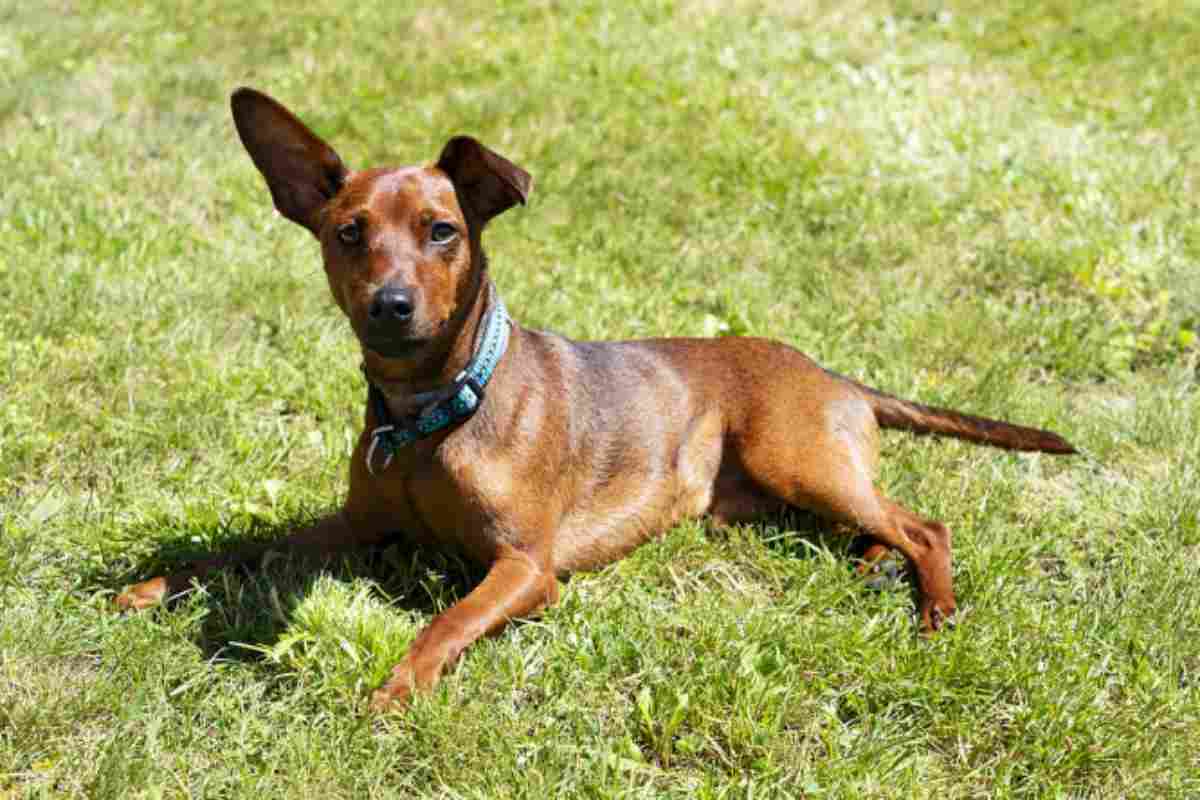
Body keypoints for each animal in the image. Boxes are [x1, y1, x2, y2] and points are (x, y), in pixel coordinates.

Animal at [117, 89, 1075, 714]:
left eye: (443, 231)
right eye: (347, 233)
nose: (391, 306)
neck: (433, 413)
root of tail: (835, 375)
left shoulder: (523, 569)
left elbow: (442, 626)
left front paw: (396, 689)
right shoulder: (354, 527)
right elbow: (246, 548)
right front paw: (157, 582)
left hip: (793, 456)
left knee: (926, 525)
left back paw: (932, 607)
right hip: (774, 493)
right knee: (879, 522)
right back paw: (873, 563)